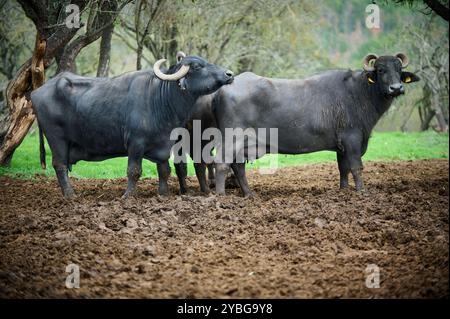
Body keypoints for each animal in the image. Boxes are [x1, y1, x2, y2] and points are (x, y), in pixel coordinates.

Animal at [30, 52, 236, 198]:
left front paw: (163, 194)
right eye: (197, 66)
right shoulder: (135, 143)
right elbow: (134, 171)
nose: (229, 74)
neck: (160, 100)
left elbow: (165, 170)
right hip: (57, 139)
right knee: (60, 165)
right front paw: (128, 196)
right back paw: (70, 195)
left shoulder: (164, 144)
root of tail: (36, 92)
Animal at [213, 53, 420, 196]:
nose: (396, 88)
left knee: (238, 166)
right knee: (222, 163)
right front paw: (361, 192)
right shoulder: (352, 139)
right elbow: (356, 167)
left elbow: (343, 168)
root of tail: (224, 88)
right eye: (380, 70)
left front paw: (344, 190)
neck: (359, 93)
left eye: (399, 71)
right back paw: (221, 195)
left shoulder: (341, 146)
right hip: (232, 137)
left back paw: (249, 194)